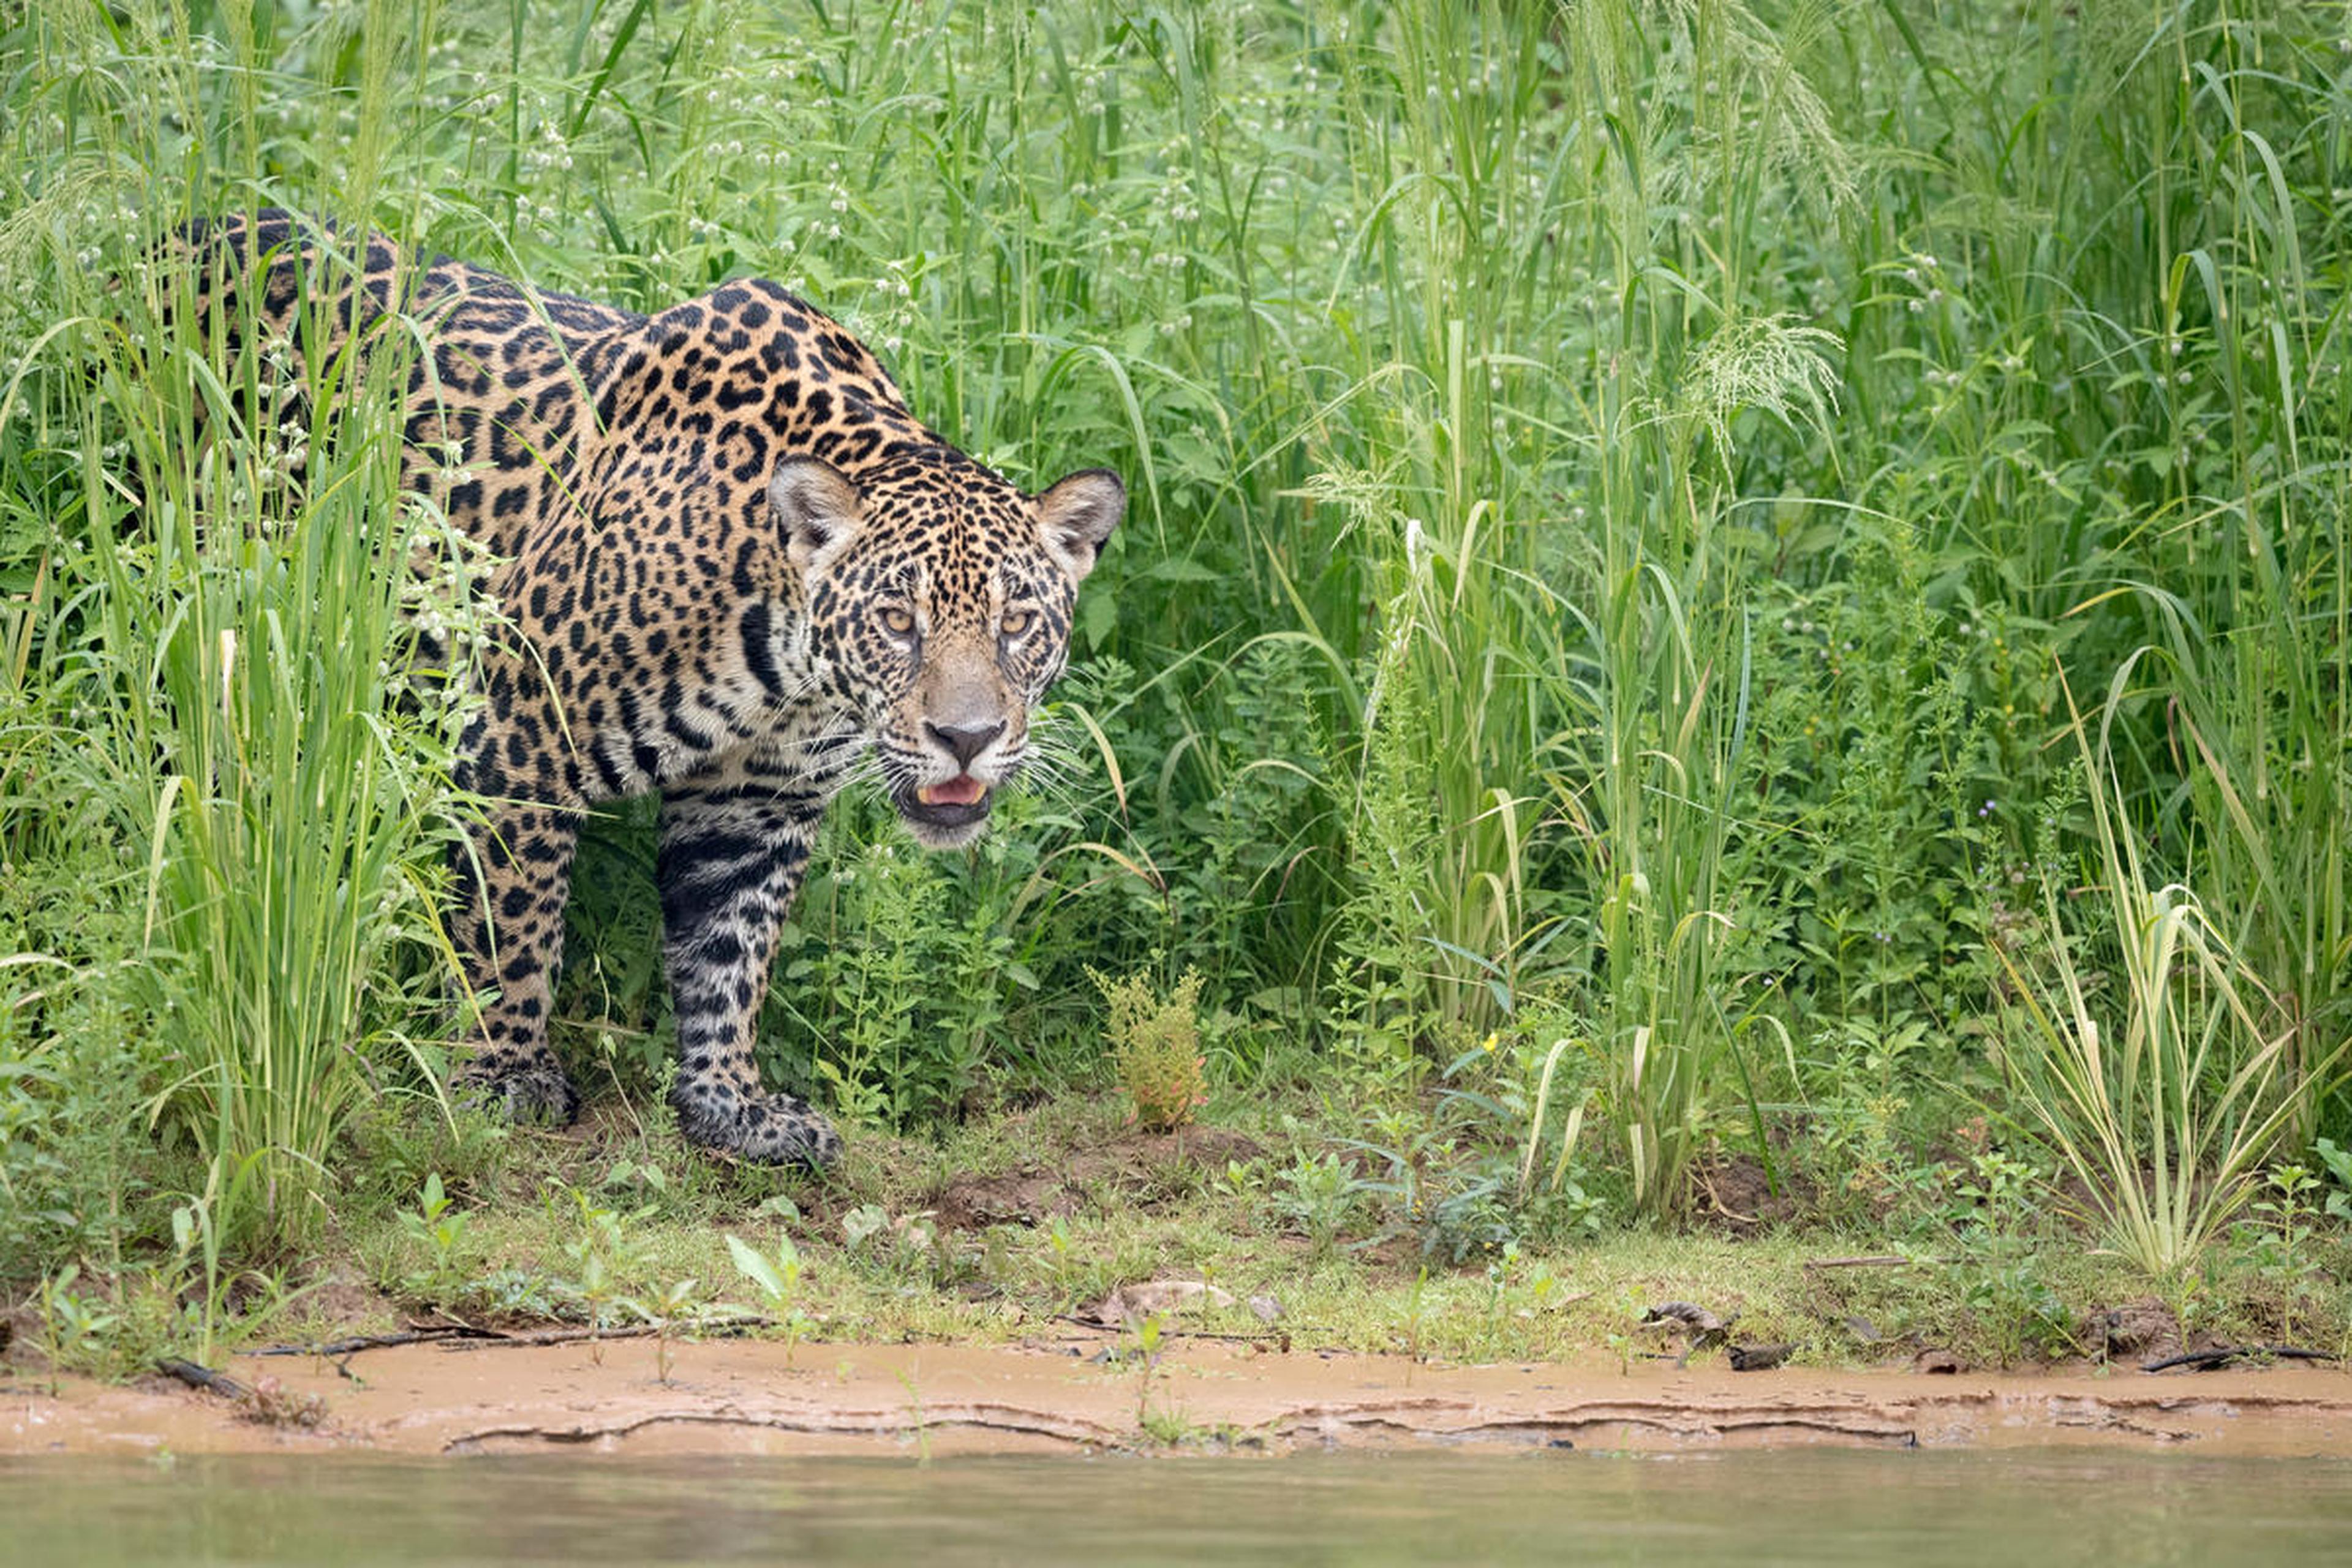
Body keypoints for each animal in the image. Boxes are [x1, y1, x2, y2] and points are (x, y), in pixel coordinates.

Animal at [174, 210, 1124, 1166]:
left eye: (1016, 624)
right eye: (896, 621)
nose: (966, 739)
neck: (782, 648)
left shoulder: (755, 801)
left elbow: (731, 952)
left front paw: (731, 1105)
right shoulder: (519, 732)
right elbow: (512, 925)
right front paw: (504, 1075)